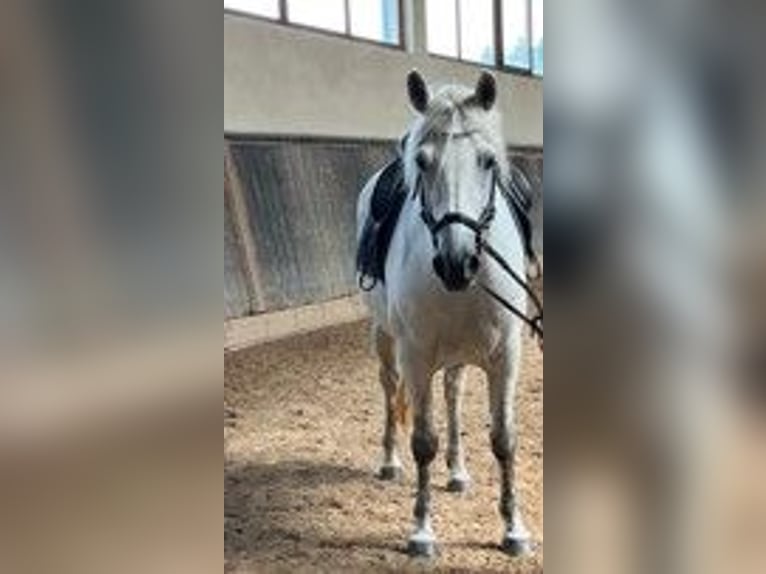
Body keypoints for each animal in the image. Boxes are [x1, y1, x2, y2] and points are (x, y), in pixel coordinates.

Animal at [356, 71, 536, 560]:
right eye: (422, 162)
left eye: (488, 161)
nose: (458, 263)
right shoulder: (416, 356)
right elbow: (423, 442)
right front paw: (422, 531)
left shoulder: (506, 355)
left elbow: (504, 439)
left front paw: (514, 529)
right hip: (384, 338)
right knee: (389, 388)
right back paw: (389, 462)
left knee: (453, 393)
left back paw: (457, 472)